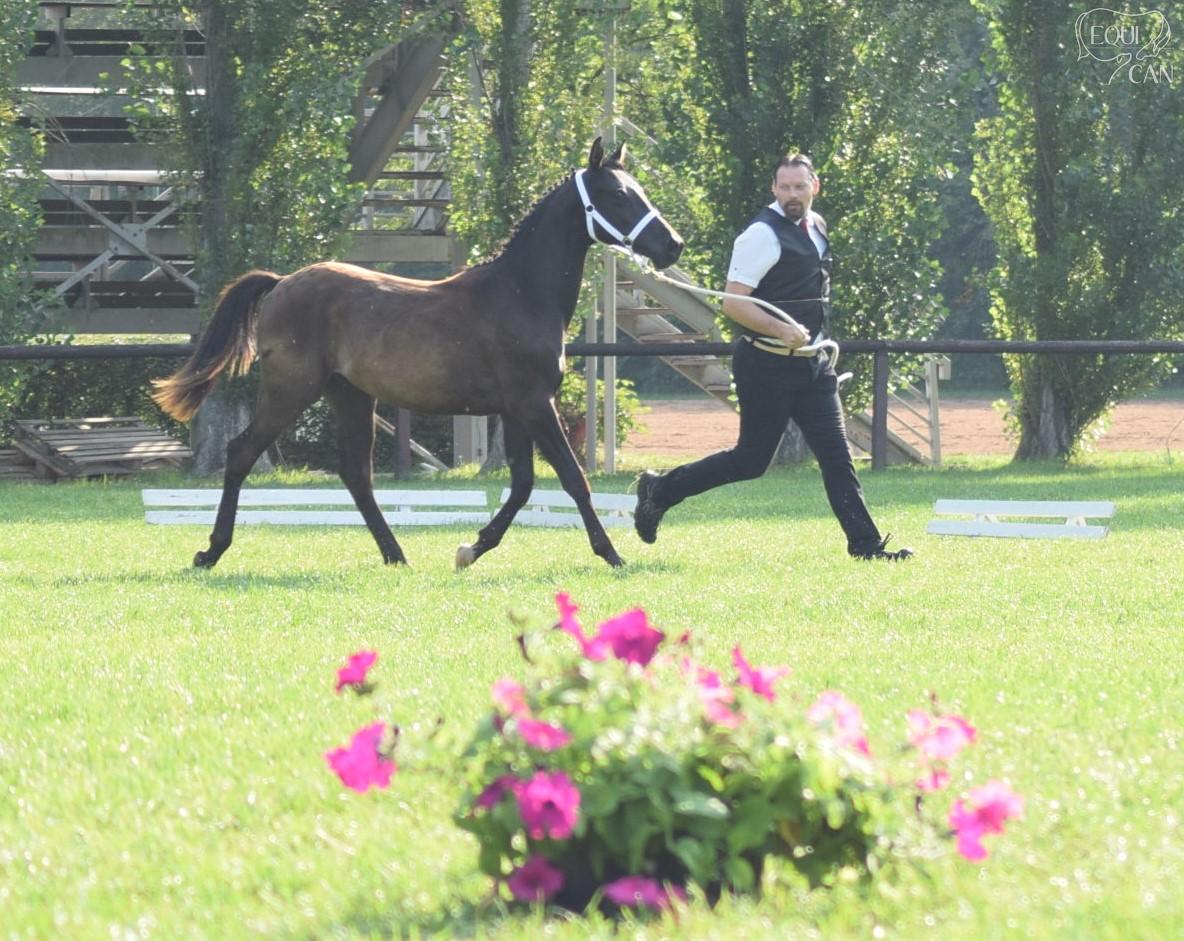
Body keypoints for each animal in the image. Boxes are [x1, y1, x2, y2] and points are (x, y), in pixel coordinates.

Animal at [152, 138, 683, 570]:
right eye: (618, 195)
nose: (673, 246)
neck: (521, 292)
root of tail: (282, 282)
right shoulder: (534, 404)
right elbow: (573, 479)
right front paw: (612, 554)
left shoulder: (516, 410)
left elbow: (523, 484)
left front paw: (471, 549)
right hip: (290, 390)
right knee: (242, 452)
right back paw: (211, 551)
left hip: (350, 397)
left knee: (357, 474)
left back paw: (396, 554)